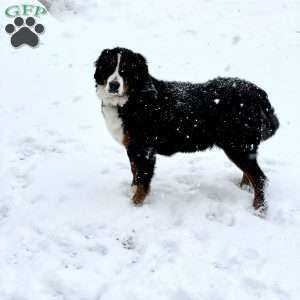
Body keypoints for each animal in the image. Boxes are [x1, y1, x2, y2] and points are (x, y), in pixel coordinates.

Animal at [94, 47, 278, 212]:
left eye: (126, 70)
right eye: (109, 67)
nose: (114, 85)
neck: (133, 99)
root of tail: (257, 92)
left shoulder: (145, 149)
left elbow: (142, 179)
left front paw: (135, 204)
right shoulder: (132, 147)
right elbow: (135, 172)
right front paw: (132, 191)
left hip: (238, 146)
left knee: (259, 178)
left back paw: (258, 209)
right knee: (250, 174)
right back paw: (245, 189)